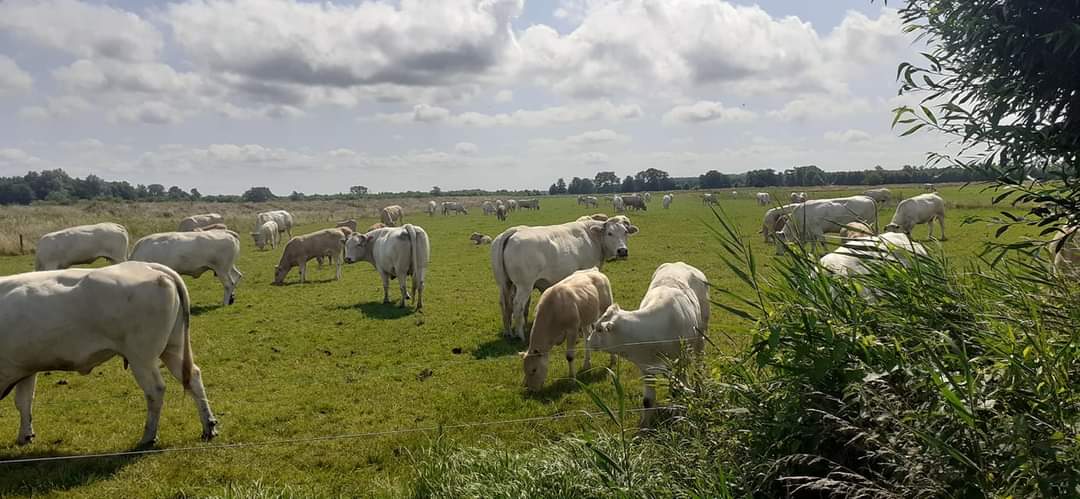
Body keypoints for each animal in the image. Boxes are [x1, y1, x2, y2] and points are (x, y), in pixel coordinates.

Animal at [0, 261, 217, 449]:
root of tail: (149, 266)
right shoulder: (26, 367)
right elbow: (24, 402)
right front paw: (25, 435)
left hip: (141, 357)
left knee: (155, 390)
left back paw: (148, 436)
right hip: (173, 347)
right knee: (193, 377)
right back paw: (209, 427)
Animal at [492, 217, 635, 339]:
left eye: (625, 232)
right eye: (610, 233)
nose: (622, 251)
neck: (592, 238)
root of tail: (513, 232)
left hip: (504, 284)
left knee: (504, 304)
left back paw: (508, 332)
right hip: (524, 286)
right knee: (517, 305)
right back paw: (520, 335)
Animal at [591, 261, 708, 425]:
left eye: (599, 329)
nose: (588, 341)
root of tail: (679, 263)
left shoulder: (680, 360)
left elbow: (678, 391)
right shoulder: (646, 368)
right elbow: (648, 401)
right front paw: (645, 426)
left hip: (701, 335)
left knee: (698, 362)